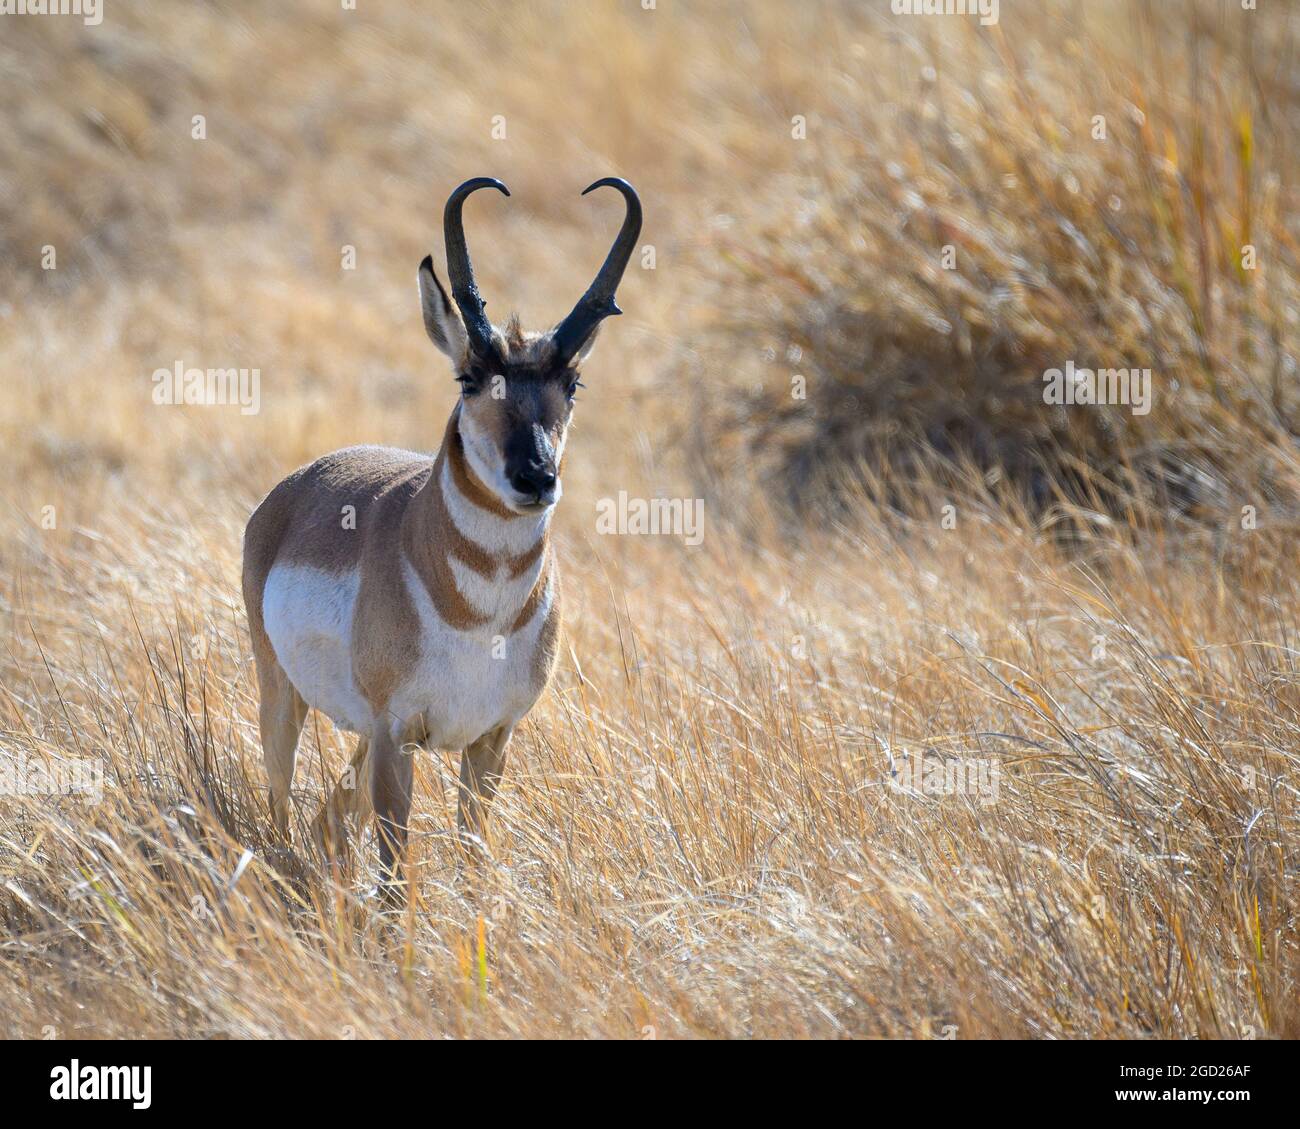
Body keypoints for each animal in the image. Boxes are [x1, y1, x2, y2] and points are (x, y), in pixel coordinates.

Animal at [242, 176, 641, 896]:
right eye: (470, 377)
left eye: (572, 381)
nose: (535, 476)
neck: (480, 614)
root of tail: (292, 489)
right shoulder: (399, 736)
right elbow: (395, 875)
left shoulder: (490, 741)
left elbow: (473, 855)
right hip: (282, 698)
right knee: (282, 807)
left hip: (360, 735)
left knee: (328, 818)